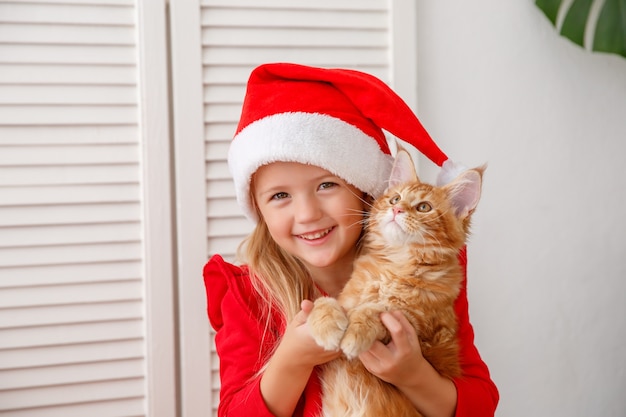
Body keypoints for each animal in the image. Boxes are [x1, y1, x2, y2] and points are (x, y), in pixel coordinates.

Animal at [306, 150, 482, 416]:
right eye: (395, 198)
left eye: (423, 207)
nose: (397, 209)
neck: (394, 267)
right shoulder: (346, 298)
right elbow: (325, 302)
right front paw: (326, 326)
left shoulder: (421, 326)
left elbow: (378, 310)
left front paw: (356, 332)